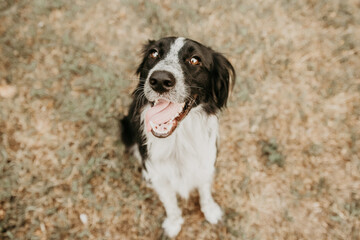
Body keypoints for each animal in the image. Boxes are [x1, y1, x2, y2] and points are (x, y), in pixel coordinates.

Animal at [119, 36, 235, 237]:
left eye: (195, 60)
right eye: (154, 53)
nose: (159, 80)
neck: (178, 141)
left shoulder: (206, 162)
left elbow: (205, 190)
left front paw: (210, 210)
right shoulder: (160, 175)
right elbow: (170, 203)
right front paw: (173, 224)